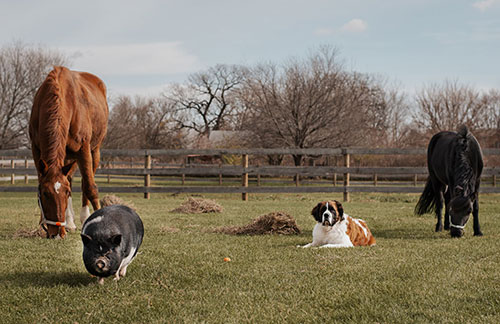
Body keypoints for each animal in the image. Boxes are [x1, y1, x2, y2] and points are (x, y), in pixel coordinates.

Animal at [29, 66, 109, 238]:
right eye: (45, 194)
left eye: (66, 193)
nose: (57, 233)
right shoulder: (36, 149)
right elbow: (41, 180)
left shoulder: (83, 150)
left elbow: (90, 187)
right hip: (67, 157)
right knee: (70, 177)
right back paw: (70, 222)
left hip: (94, 151)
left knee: (86, 182)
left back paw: (84, 217)